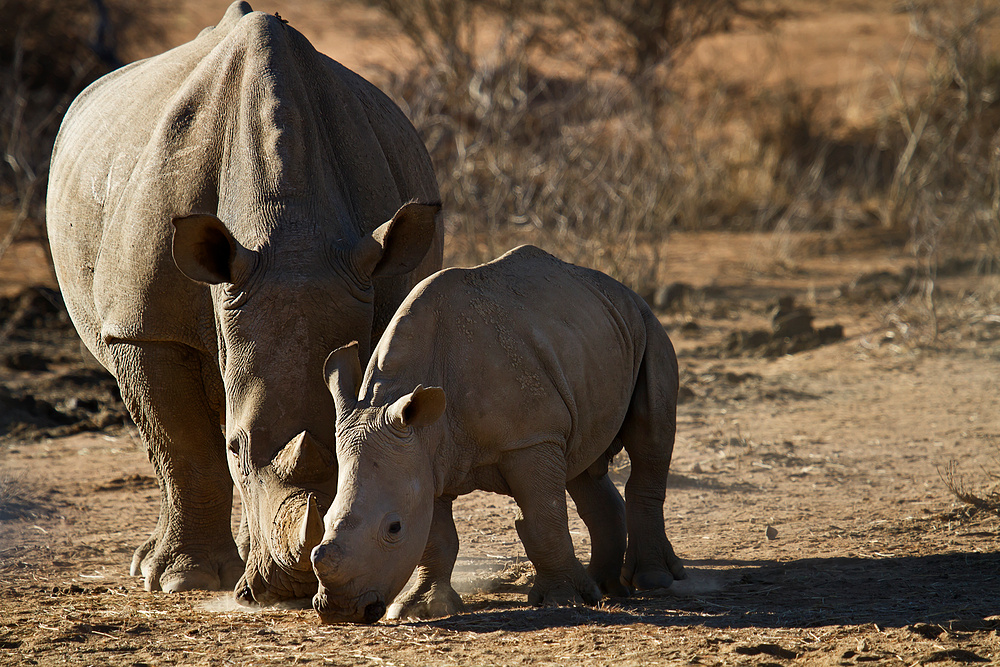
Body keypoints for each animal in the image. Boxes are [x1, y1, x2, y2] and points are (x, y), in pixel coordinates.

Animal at [44, 0, 442, 604]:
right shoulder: (144, 326)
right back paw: (153, 567)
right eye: (237, 448)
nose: (293, 586)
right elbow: (184, 450)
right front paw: (186, 580)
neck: (287, 230)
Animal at [312, 247, 688, 628]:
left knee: (650, 439)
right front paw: (423, 607)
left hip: (648, 326)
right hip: (591, 339)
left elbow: (543, 518)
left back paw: (652, 581)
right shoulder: (427, 453)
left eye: (394, 528)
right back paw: (603, 587)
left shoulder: (531, 438)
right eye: (323, 521)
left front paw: (562, 600)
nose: (339, 610)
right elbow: (436, 534)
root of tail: (623, 290)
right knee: (584, 464)